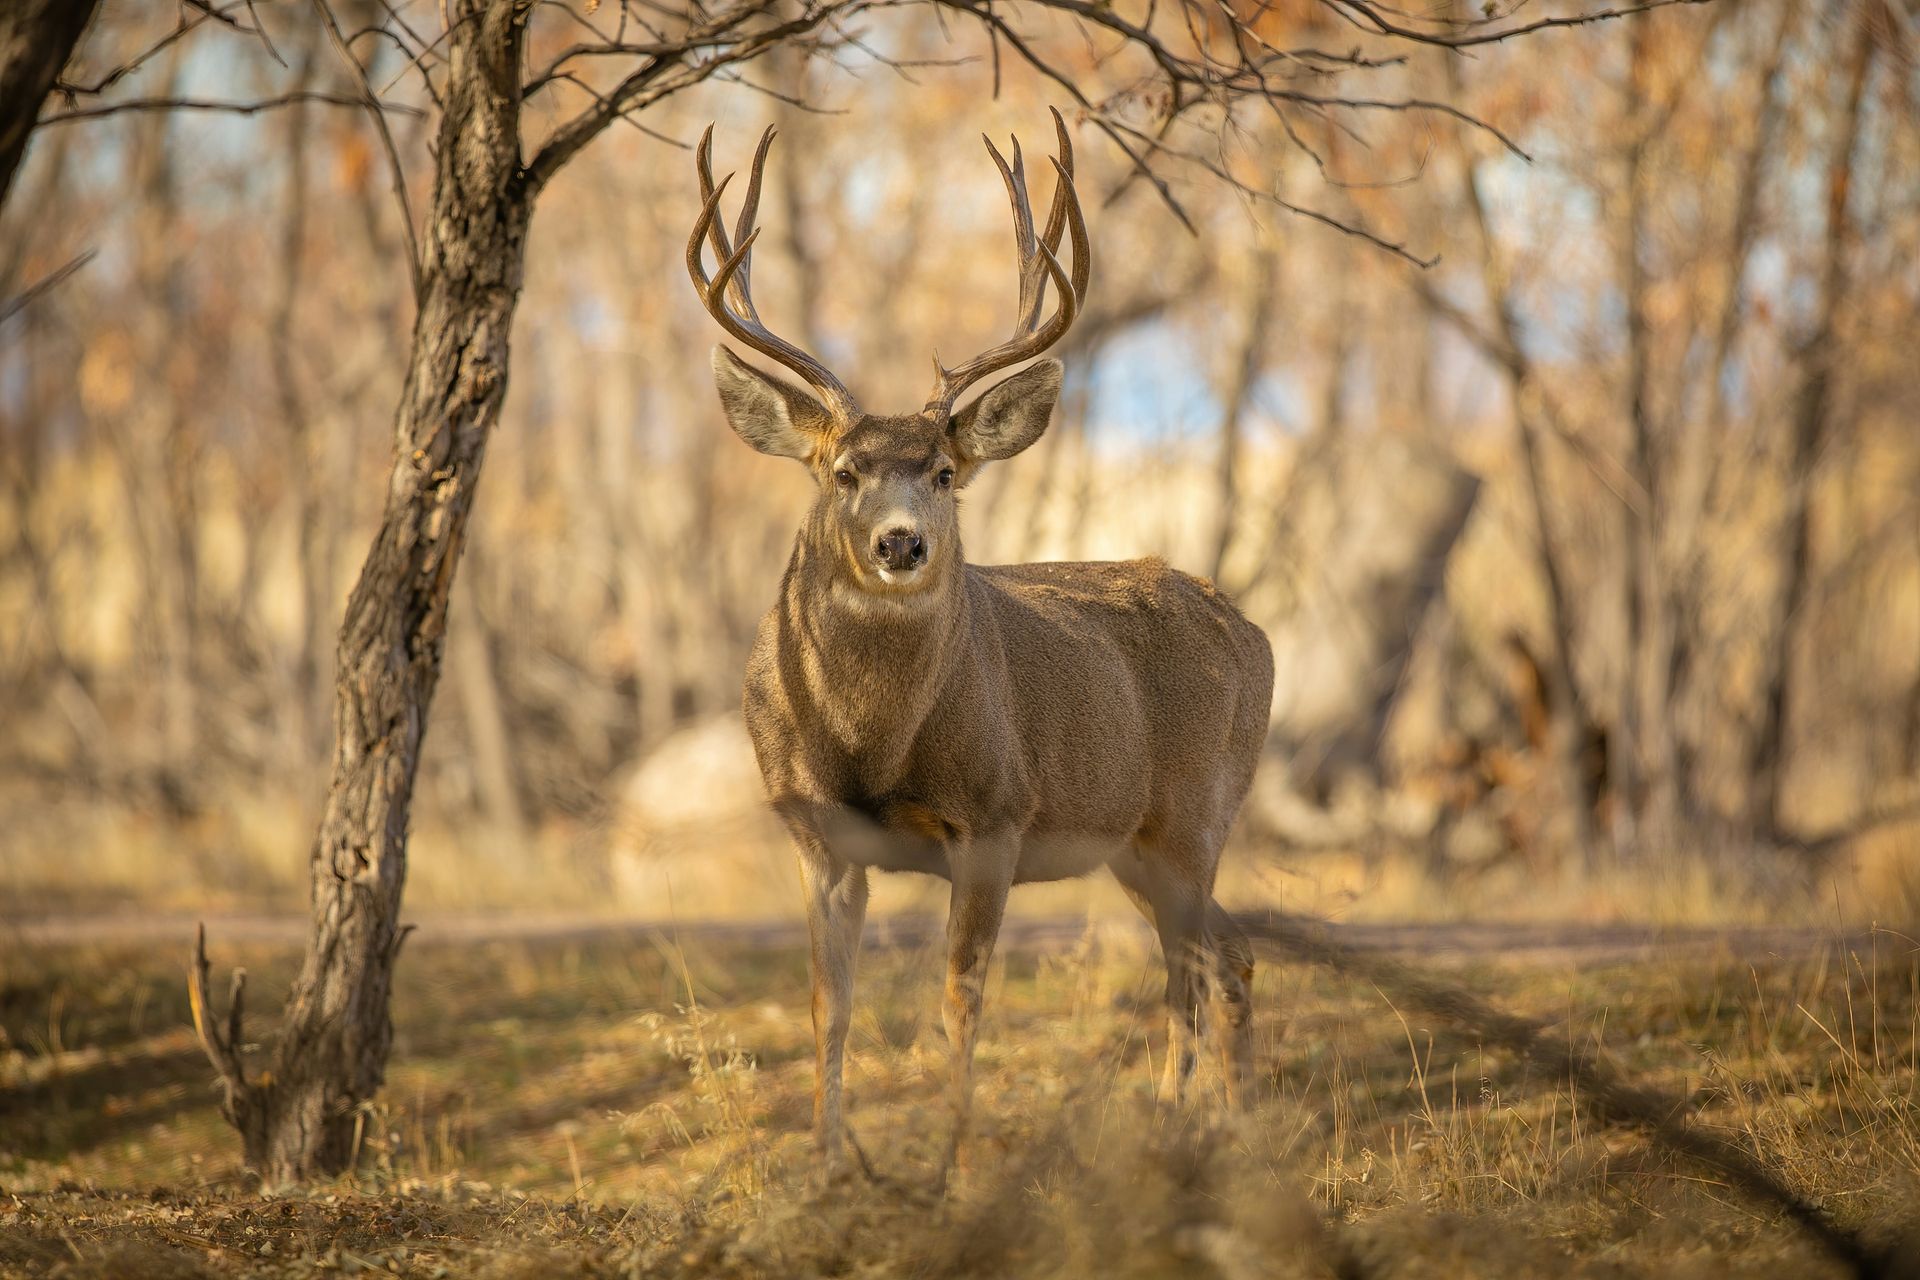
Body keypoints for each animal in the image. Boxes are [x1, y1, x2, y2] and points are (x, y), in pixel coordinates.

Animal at [685, 110, 1276, 1179]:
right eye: (841, 472)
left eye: (946, 473)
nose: (900, 542)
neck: (871, 748)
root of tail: (1252, 630)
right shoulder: (815, 835)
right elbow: (829, 1004)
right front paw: (827, 1163)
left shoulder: (995, 817)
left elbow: (961, 999)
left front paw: (956, 1168)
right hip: (1135, 844)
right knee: (1200, 956)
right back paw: (1185, 1121)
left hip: (1197, 812)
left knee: (1220, 956)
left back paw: (1220, 1127)